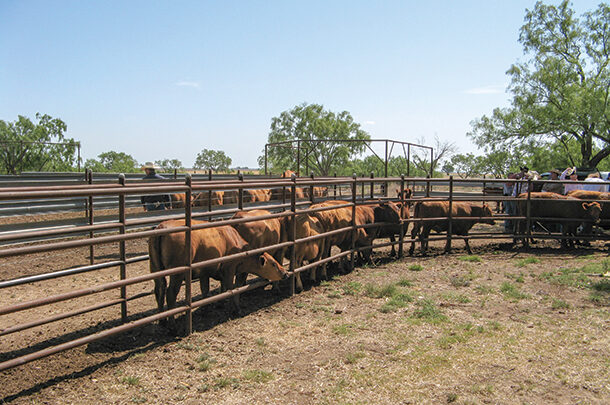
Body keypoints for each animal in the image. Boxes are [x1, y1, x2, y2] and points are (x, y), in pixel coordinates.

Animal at [150, 219, 288, 330]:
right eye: (273, 263)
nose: (285, 272)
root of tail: (162, 226)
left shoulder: (204, 273)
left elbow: (206, 290)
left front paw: (209, 307)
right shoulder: (229, 269)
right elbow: (232, 289)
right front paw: (236, 309)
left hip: (155, 269)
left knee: (159, 290)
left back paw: (162, 320)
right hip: (177, 274)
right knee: (170, 294)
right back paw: (172, 325)